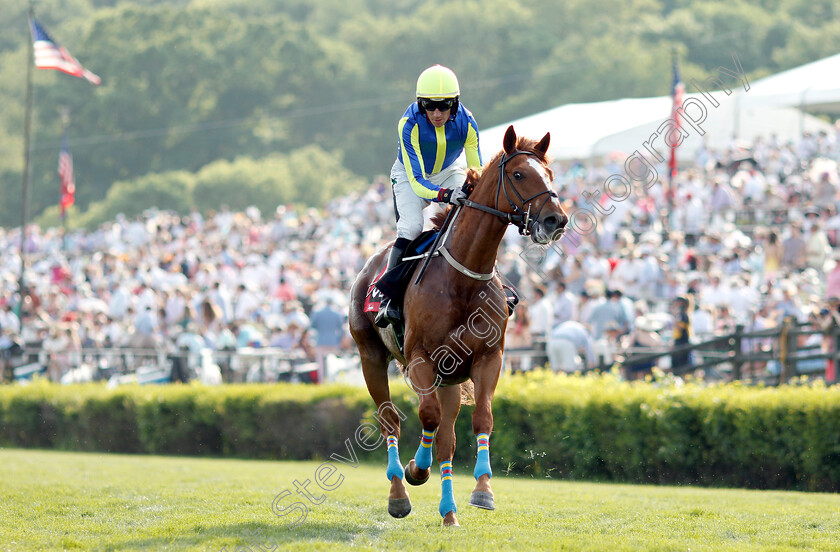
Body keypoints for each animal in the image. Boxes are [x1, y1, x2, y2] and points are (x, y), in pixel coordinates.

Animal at [348, 125, 572, 528]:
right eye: (519, 174)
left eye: (550, 174)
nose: (555, 221)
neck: (463, 279)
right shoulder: (420, 358)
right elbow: (428, 417)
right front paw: (415, 472)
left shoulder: (488, 358)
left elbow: (480, 419)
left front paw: (483, 490)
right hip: (370, 356)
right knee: (391, 420)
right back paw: (399, 493)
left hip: (449, 378)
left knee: (446, 437)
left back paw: (448, 512)